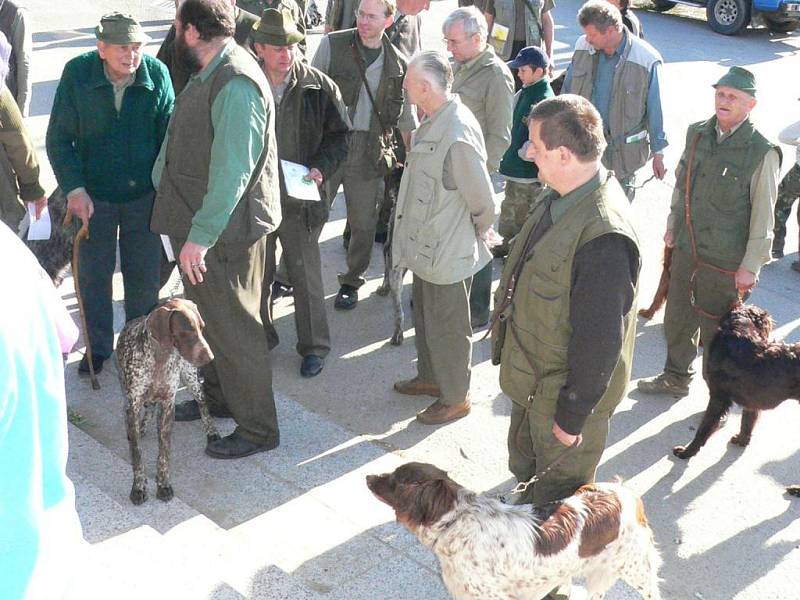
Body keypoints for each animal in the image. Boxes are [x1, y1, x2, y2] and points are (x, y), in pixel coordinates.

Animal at [114, 298, 217, 504]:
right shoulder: (132, 404)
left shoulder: (168, 405)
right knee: (146, 411)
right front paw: (139, 486)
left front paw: (163, 485)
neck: (159, 357)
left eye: (202, 328)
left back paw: (211, 431)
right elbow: (137, 453)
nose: (210, 358)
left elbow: (164, 453)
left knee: (203, 404)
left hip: (191, 378)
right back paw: (140, 427)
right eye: (187, 331)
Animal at [676, 304, 800, 496]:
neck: (739, 329)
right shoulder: (751, 403)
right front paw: (742, 440)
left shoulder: (718, 397)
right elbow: (747, 423)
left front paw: (686, 452)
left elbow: (703, 430)